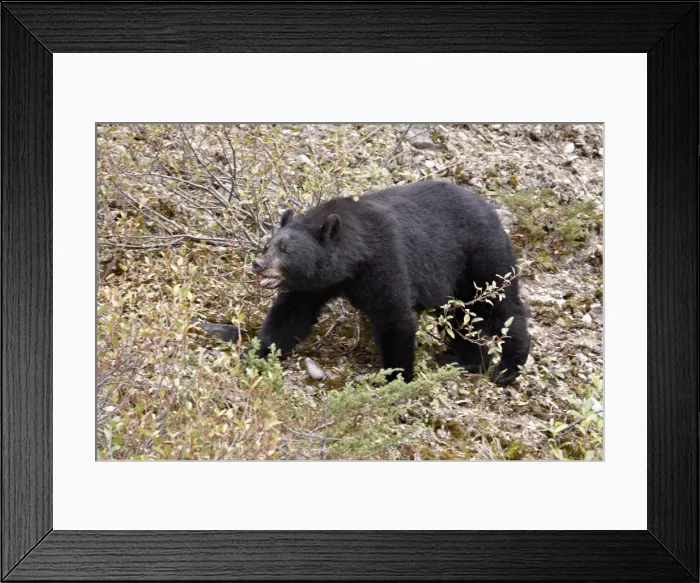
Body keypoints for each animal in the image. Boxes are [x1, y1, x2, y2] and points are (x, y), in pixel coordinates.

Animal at [249, 180, 530, 385]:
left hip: (481, 259)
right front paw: (257, 352)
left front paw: (395, 377)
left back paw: (507, 368)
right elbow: (291, 313)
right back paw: (464, 359)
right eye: (268, 245)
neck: (352, 260)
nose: (258, 264)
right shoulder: (315, 284)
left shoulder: (383, 258)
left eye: (286, 250)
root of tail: (494, 214)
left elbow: (393, 316)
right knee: (461, 315)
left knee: (501, 310)